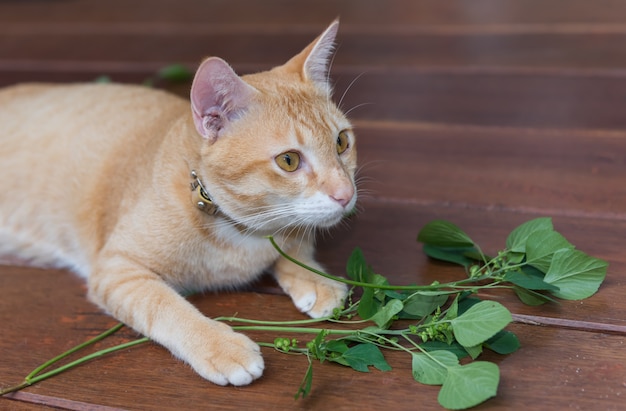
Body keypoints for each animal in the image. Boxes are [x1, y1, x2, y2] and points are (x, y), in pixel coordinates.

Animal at [0, 20, 356, 386]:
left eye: (342, 142)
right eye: (288, 160)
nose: (346, 194)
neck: (236, 229)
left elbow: (294, 247)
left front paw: (315, 278)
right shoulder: (116, 268)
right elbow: (165, 306)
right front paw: (219, 345)